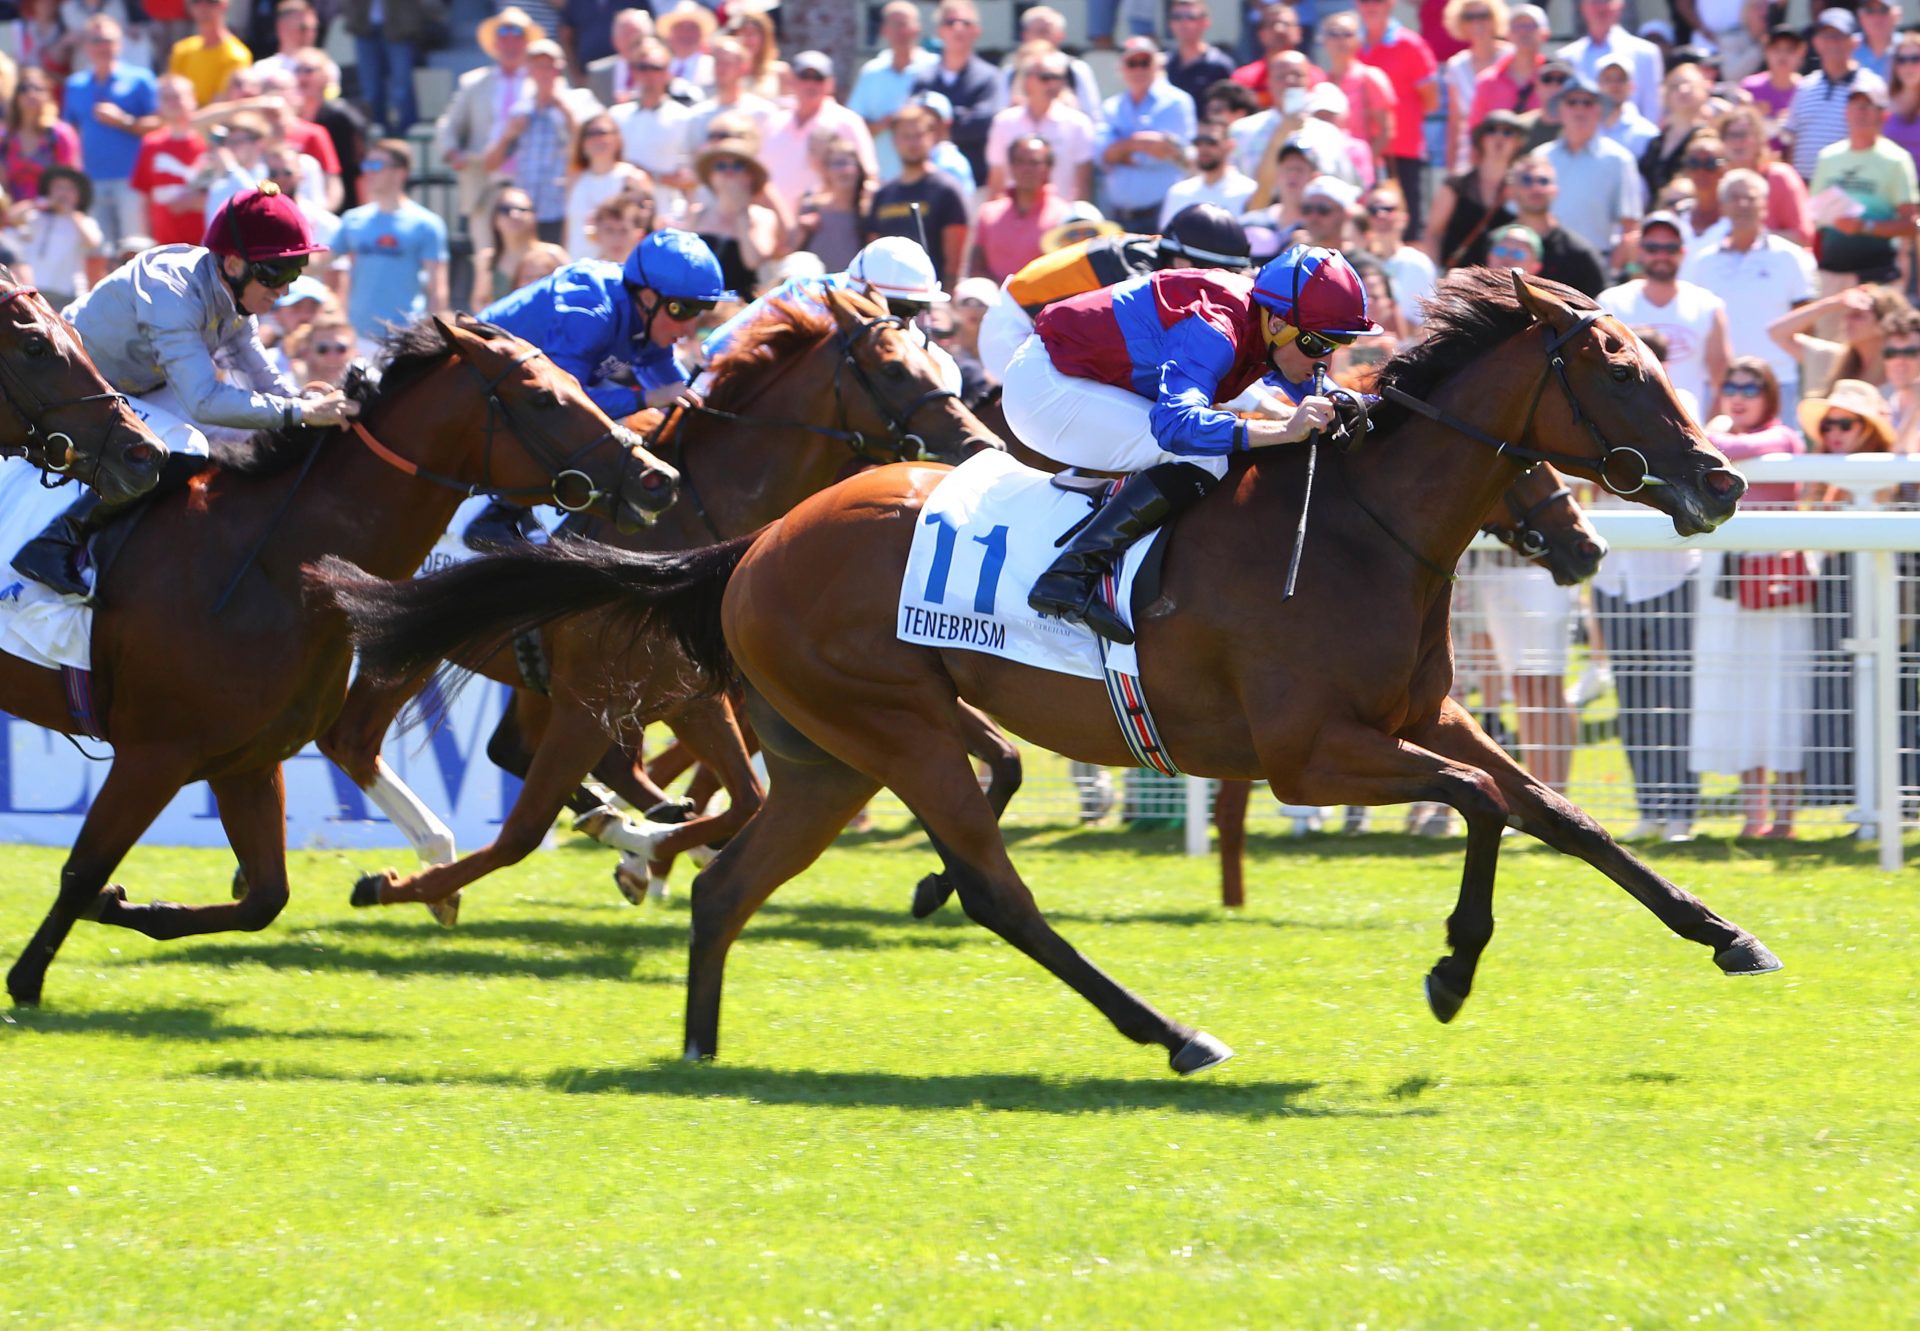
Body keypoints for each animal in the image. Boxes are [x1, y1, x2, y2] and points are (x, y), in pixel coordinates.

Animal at [1, 316, 683, 998]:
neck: (270, 565)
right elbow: (83, 870)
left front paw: (123, 905)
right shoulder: (155, 753)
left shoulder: (246, 760)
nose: (657, 478)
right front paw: (28, 980)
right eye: (542, 398)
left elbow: (264, 898)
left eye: (579, 381)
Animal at [314, 286, 1006, 918]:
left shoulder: (693, 693)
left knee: (507, 751)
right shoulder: (592, 698)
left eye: (942, 365)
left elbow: (745, 798)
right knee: (352, 739)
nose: (978, 445)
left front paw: (653, 844)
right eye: (893, 369)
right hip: (420, 646)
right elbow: (527, 831)